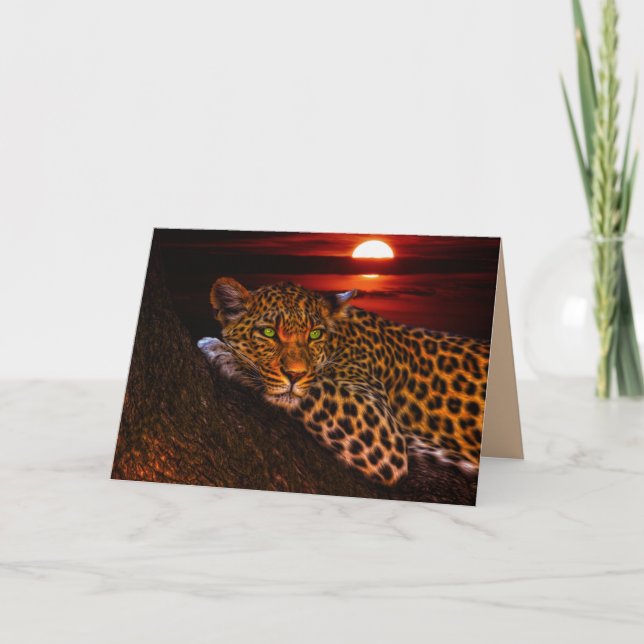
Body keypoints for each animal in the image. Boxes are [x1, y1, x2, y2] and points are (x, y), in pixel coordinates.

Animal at [198, 278, 490, 487]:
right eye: (269, 333)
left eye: (314, 335)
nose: (295, 374)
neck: (340, 340)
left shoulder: (381, 429)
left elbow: (316, 386)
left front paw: (224, 353)